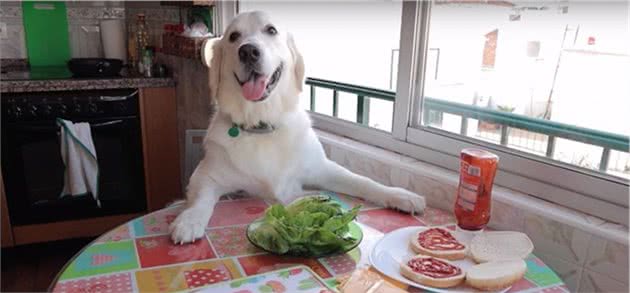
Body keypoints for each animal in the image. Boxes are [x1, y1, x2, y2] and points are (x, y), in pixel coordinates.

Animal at [169, 11, 424, 243]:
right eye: (233, 36)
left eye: (271, 30)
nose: (248, 51)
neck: (262, 125)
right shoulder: (206, 175)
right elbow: (200, 199)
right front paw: (189, 221)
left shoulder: (322, 168)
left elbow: (362, 181)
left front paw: (399, 195)